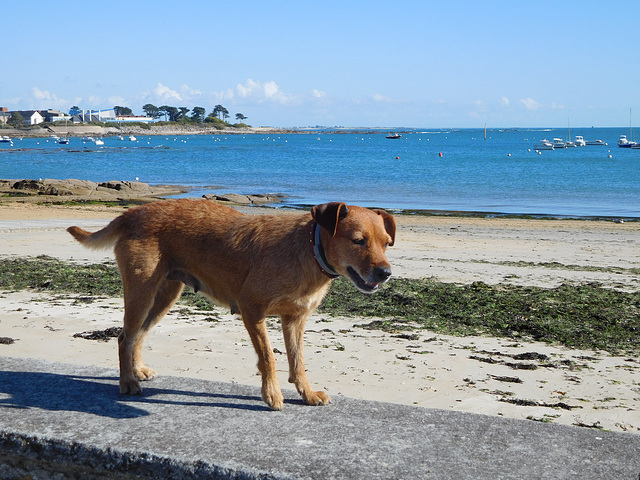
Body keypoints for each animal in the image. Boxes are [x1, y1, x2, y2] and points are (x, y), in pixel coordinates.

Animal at [66, 199, 396, 408]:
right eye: (358, 240)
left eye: (386, 243)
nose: (385, 273)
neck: (309, 251)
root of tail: (132, 212)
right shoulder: (252, 310)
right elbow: (269, 358)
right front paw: (272, 395)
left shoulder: (294, 319)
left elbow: (297, 360)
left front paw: (307, 393)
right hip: (141, 292)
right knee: (124, 337)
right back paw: (127, 383)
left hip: (165, 295)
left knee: (138, 335)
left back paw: (138, 370)